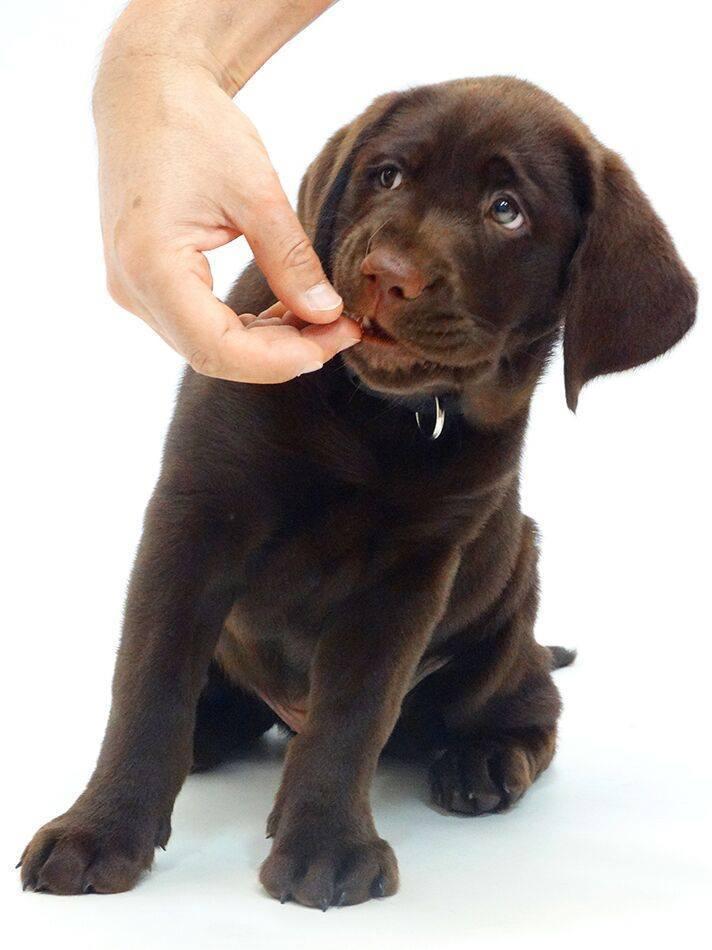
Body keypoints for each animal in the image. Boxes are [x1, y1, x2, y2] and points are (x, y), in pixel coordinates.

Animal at [20, 77, 696, 907]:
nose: (387, 272)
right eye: (388, 176)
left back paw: (483, 760)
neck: (382, 419)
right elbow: (148, 683)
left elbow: (353, 711)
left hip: (514, 598)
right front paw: (99, 830)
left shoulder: (411, 571)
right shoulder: (197, 510)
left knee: (533, 704)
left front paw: (325, 846)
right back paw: (210, 732)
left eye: (506, 210)